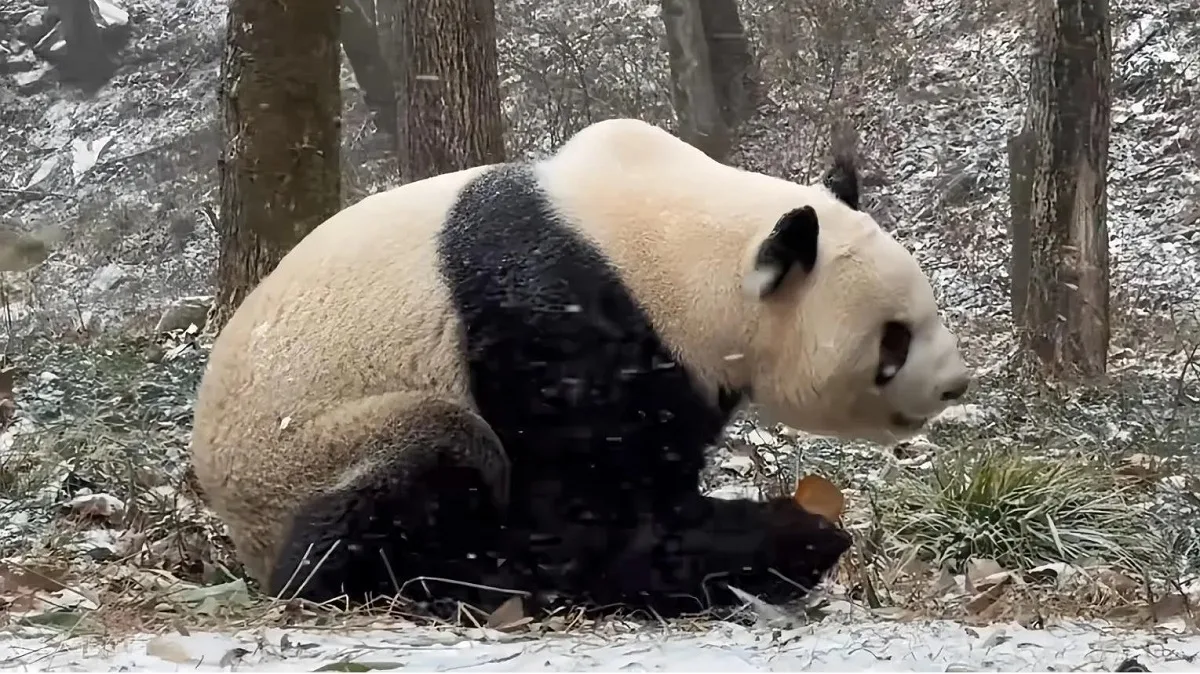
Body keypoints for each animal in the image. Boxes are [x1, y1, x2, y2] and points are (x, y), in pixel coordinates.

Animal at [190, 118, 971, 618]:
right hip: (303, 454)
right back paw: (430, 583)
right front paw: (793, 538)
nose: (955, 384)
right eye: (893, 340)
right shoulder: (552, 320)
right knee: (426, 465)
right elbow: (583, 519)